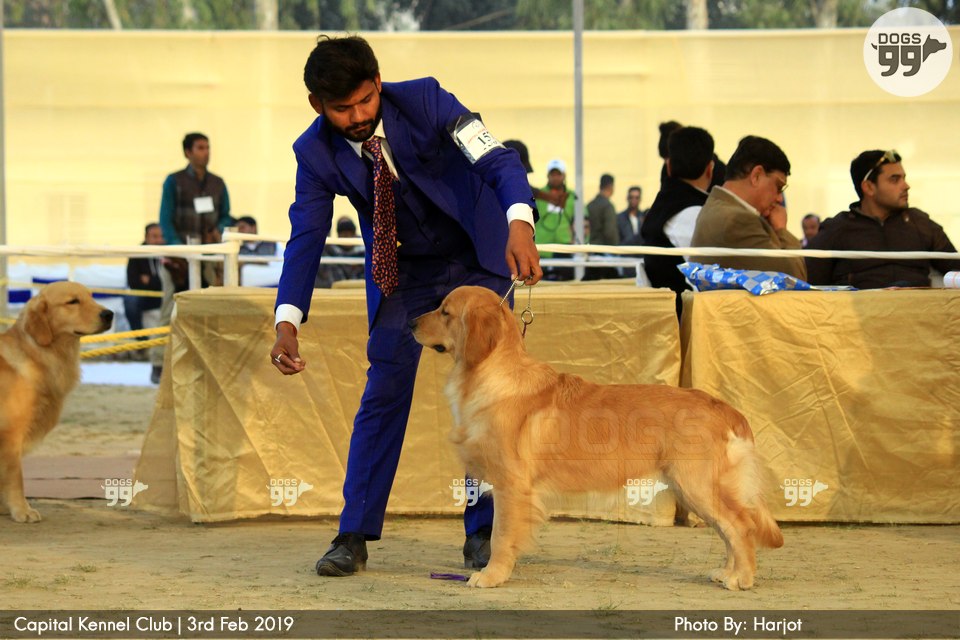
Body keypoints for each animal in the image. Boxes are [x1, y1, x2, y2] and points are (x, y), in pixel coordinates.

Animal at [0, 282, 113, 522]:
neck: (38, 353)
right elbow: (15, 477)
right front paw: (22, 510)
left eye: (91, 296)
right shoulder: (11, 433)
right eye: (73, 301)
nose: (109, 314)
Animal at [410, 285, 783, 590]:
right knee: (729, 530)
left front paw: (490, 576)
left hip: (698, 485)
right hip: (692, 488)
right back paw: (727, 572)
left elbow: (502, 536)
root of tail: (726, 408)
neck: (493, 376)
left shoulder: (511, 485)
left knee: (740, 526)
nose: (411, 323)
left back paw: (742, 578)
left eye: (445, 311)